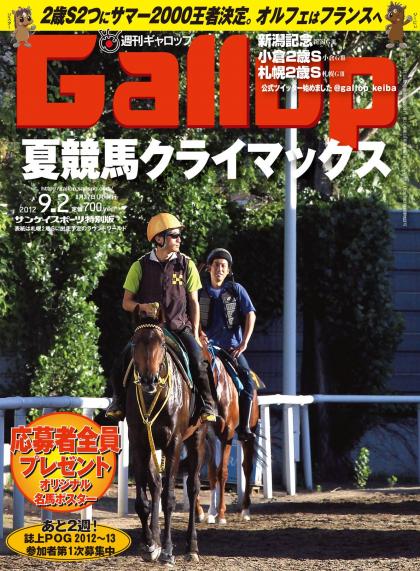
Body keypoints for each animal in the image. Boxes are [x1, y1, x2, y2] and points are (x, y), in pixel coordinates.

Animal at [125, 317, 207, 565]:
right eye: (134, 343)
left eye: (161, 344)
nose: (148, 379)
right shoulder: (138, 442)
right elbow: (143, 500)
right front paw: (150, 544)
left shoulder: (174, 443)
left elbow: (169, 498)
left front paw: (168, 550)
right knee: (156, 485)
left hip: (197, 438)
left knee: (193, 487)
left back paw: (192, 547)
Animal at [195, 345, 259, 524]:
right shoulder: (207, 435)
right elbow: (207, 473)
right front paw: (208, 513)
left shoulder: (227, 434)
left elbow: (222, 472)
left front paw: (222, 515)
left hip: (249, 432)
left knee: (247, 467)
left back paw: (245, 510)